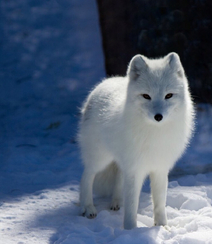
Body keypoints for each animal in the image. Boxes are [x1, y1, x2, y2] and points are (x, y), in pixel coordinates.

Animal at [78, 52, 194, 230]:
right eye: (146, 96)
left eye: (168, 95)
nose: (158, 117)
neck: (154, 134)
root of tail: (105, 82)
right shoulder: (135, 169)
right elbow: (133, 204)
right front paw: (130, 230)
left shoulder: (159, 168)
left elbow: (159, 203)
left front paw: (162, 227)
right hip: (100, 159)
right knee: (86, 177)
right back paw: (88, 208)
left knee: (118, 178)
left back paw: (117, 202)